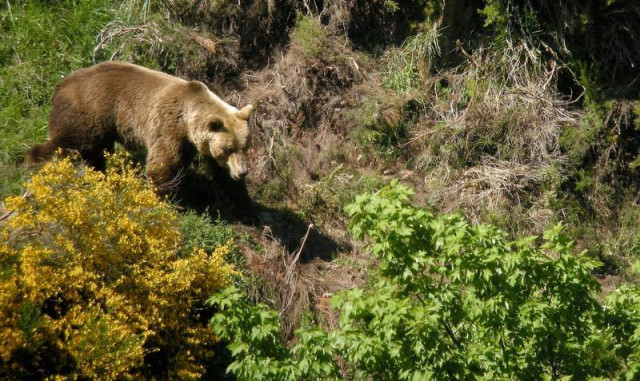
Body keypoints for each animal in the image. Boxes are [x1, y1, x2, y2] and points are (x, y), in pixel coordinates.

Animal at [27, 59, 254, 199]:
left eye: (244, 146)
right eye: (228, 149)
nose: (243, 172)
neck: (188, 121)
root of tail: (60, 84)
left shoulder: (200, 144)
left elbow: (221, 175)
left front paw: (240, 200)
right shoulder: (168, 125)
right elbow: (163, 164)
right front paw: (165, 196)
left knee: (94, 152)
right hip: (88, 111)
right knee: (70, 144)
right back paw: (35, 166)